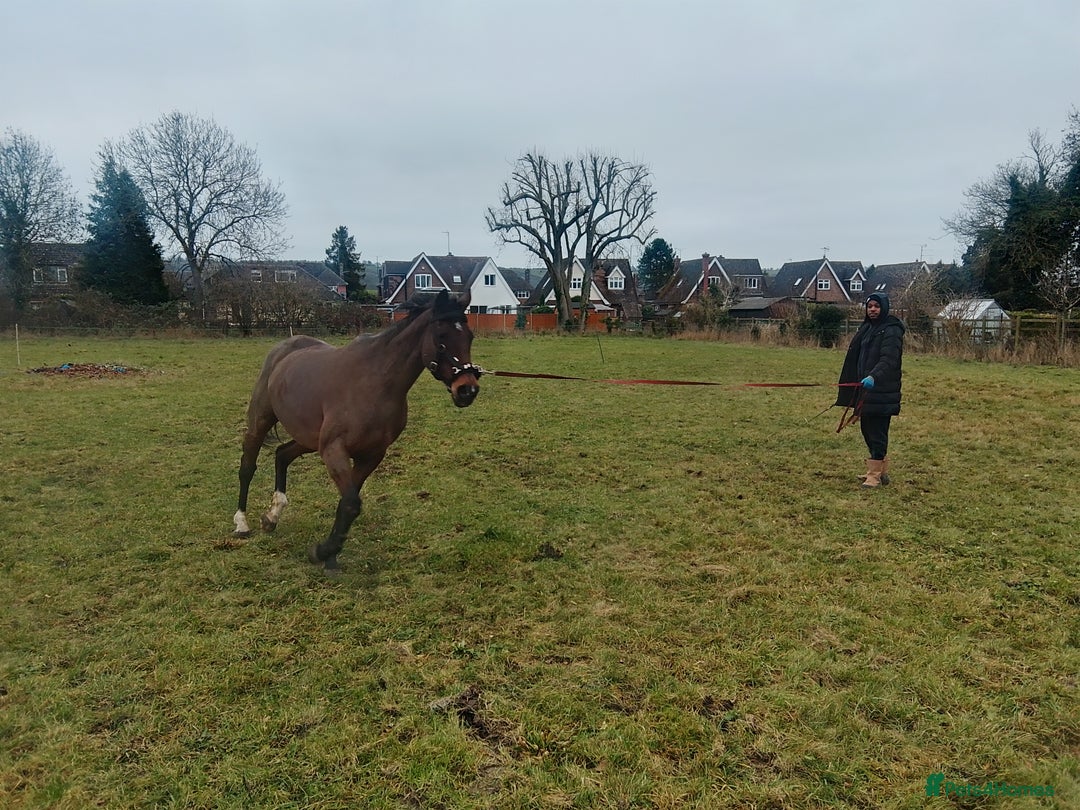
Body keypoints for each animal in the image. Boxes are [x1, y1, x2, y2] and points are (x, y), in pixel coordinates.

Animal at [233, 289, 481, 570]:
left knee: (282, 455)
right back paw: (242, 523)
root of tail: (284, 348)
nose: (467, 390)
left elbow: (347, 504)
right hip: (261, 421)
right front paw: (322, 552)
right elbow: (351, 503)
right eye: (441, 337)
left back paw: (272, 516)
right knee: (247, 466)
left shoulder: (371, 455)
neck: (375, 383)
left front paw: (329, 554)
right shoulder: (334, 450)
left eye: (469, 336)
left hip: (308, 438)